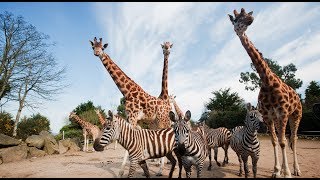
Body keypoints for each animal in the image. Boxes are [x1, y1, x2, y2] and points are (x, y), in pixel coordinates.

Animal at [90, 37, 174, 176]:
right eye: (93, 47)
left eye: (102, 48)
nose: (97, 53)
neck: (127, 92)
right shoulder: (132, 118)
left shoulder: (133, 117)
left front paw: (121, 172)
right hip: (155, 122)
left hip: (163, 120)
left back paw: (161, 169)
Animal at [229, 8, 302, 177]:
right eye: (236, 20)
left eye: (246, 14)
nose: (250, 19)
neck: (268, 83)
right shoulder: (269, 116)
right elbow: (275, 141)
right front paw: (277, 171)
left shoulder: (282, 113)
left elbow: (282, 142)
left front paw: (286, 172)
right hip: (279, 119)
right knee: (286, 139)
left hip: (296, 115)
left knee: (294, 139)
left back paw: (296, 169)